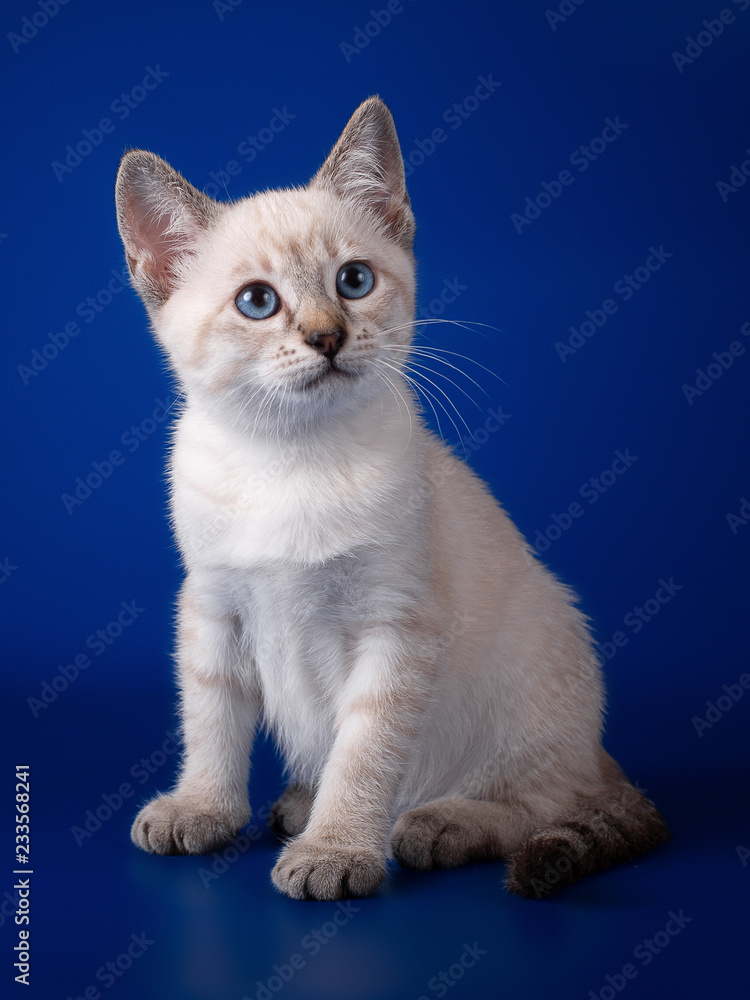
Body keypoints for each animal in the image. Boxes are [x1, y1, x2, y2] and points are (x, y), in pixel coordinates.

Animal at [116, 97, 668, 904]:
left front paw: (337, 851)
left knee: (544, 804)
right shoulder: (214, 608)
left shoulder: (395, 629)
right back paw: (300, 805)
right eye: (257, 302)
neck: (292, 458)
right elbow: (212, 725)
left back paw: (436, 826)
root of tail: (599, 754)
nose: (327, 337)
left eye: (353, 281)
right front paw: (202, 810)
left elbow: (364, 754)